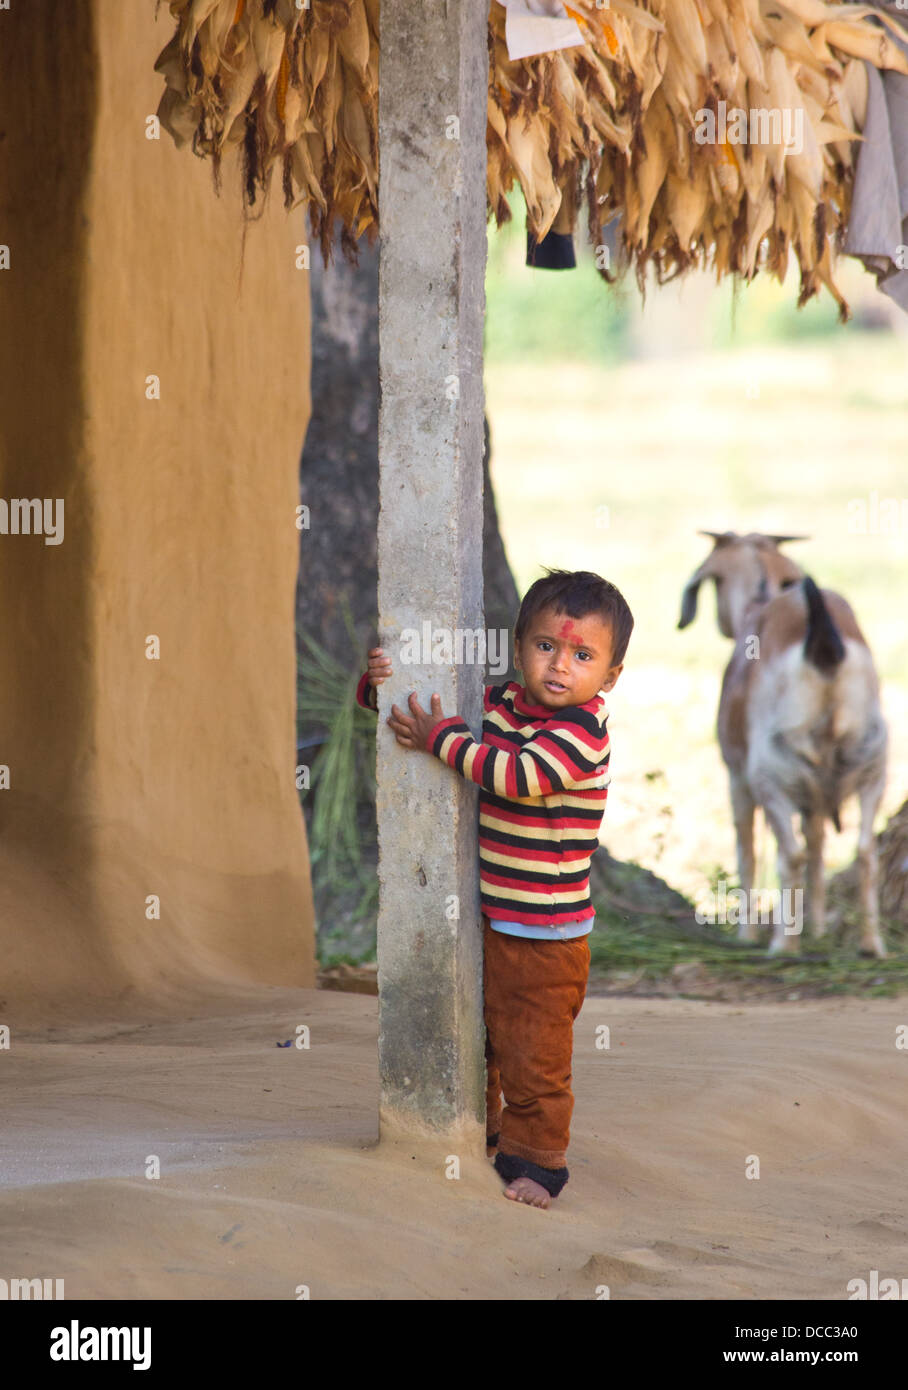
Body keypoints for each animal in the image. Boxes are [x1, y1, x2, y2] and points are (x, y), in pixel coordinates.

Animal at [675, 530, 889, 956]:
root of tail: (822, 644)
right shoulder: (815, 794)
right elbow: (819, 844)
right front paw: (818, 928)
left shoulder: (737, 778)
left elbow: (747, 851)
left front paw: (747, 933)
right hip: (875, 759)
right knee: (864, 851)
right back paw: (871, 944)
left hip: (770, 773)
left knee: (789, 854)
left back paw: (783, 945)